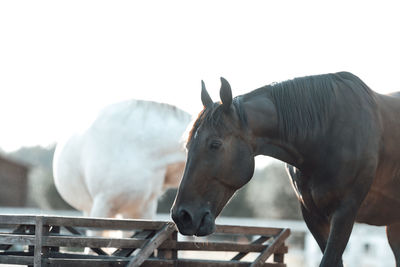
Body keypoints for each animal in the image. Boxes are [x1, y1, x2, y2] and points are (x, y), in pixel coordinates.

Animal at [170, 72, 400, 266]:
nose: (182, 216)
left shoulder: (345, 212)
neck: (327, 134)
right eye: (188, 145)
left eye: (215, 144)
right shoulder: (313, 216)